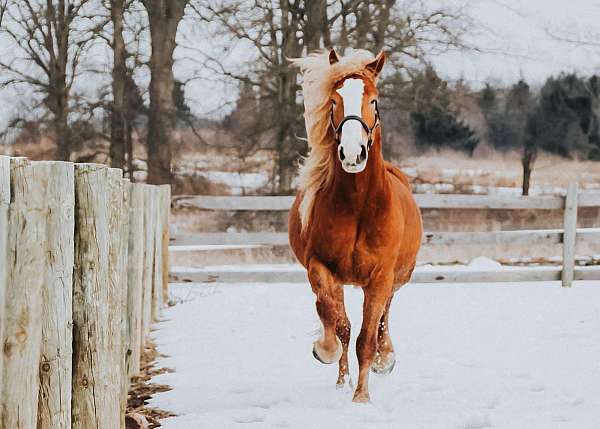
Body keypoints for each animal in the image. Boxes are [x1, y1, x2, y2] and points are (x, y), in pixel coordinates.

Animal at [290, 50, 422, 402]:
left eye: (373, 101)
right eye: (334, 101)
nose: (352, 154)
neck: (359, 205)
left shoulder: (380, 278)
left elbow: (367, 338)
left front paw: (362, 397)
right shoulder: (320, 266)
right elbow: (334, 319)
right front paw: (325, 351)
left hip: (398, 277)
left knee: (384, 317)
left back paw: (384, 359)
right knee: (342, 322)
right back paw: (341, 378)